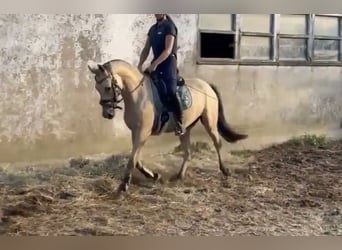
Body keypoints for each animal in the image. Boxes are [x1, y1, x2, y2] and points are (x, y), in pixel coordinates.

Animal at [87, 58, 247, 193]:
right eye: (97, 88)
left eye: (107, 87)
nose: (107, 114)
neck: (139, 95)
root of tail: (207, 85)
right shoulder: (136, 132)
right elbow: (137, 160)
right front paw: (154, 175)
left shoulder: (143, 133)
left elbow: (133, 160)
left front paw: (123, 186)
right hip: (186, 129)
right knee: (188, 152)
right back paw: (179, 176)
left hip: (210, 123)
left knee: (217, 143)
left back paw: (225, 170)